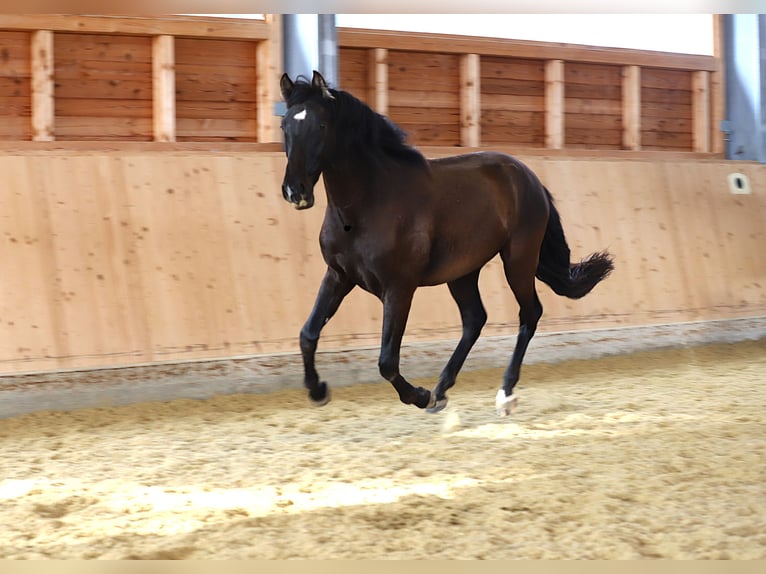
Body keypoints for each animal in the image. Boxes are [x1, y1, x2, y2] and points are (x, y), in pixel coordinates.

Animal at [279, 71, 614, 416]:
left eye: (321, 125)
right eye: (285, 125)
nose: (295, 191)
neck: (369, 202)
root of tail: (529, 178)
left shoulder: (399, 288)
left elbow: (387, 361)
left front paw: (420, 395)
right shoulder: (338, 276)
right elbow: (308, 334)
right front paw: (318, 390)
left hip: (518, 260)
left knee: (529, 313)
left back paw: (503, 395)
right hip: (463, 272)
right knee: (475, 319)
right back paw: (442, 390)